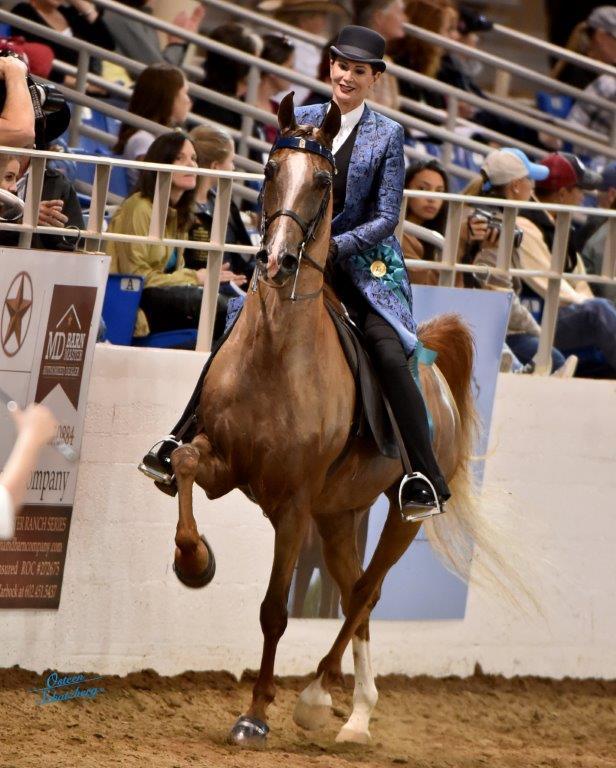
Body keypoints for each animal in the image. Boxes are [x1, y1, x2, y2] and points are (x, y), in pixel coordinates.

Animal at [168, 92, 520, 747]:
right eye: (270, 169)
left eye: (325, 181)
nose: (276, 261)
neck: (277, 353)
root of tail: (431, 368)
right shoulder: (225, 465)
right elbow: (181, 462)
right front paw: (194, 562)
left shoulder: (293, 506)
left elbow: (274, 611)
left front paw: (255, 714)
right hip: (338, 516)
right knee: (359, 593)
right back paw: (354, 711)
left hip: (399, 515)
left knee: (364, 591)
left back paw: (318, 699)